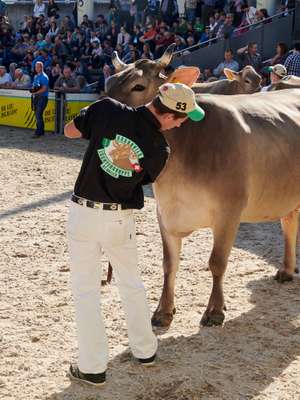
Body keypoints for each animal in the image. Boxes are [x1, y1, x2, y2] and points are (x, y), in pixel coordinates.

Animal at [105, 47, 300, 328]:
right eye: (108, 82)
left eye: (138, 86)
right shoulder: (165, 212)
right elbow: (169, 264)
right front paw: (163, 311)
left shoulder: (229, 211)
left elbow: (217, 262)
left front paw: (215, 311)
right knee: (289, 222)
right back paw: (286, 269)